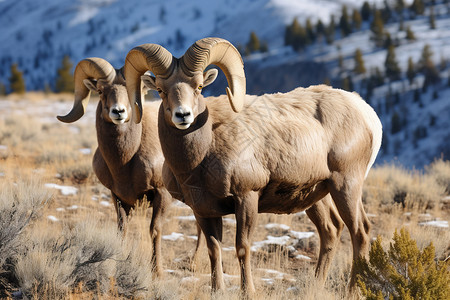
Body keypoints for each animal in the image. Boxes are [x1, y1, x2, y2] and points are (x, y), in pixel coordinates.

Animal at [56, 58, 202, 276]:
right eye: (101, 91)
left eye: (136, 89)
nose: (118, 112)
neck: (124, 163)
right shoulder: (118, 197)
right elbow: (122, 229)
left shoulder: (162, 195)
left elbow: (155, 230)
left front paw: (157, 272)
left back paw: (194, 264)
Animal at [124, 37, 384, 292]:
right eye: (160, 90)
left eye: (198, 87)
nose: (183, 115)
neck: (201, 155)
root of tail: (366, 113)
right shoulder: (203, 210)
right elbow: (213, 250)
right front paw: (217, 290)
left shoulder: (247, 197)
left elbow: (242, 247)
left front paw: (247, 291)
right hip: (318, 196)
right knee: (331, 231)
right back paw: (316, 286)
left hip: (346, 185)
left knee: (360, 232)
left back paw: (353, 290)